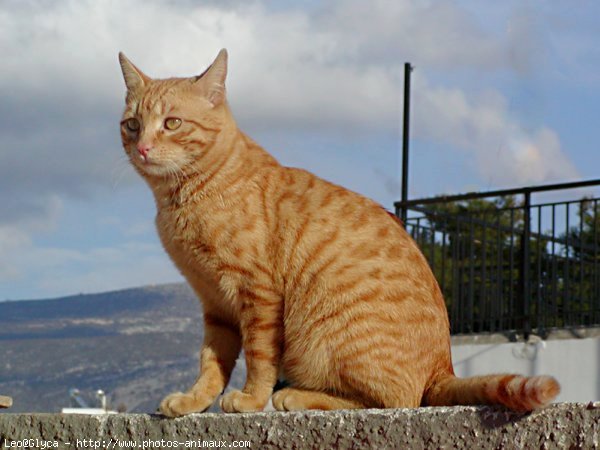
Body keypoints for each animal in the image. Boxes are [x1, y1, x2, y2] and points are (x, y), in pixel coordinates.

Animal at [119, 47, 560, 416]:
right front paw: (193, 401)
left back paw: (293, 395)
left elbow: (259, 357)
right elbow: (212, 363)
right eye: (132, 125)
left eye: (172, 123)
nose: (142, 148)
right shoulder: (215, 304)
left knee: (392, 399)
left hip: (329, 338)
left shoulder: (257, 294)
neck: (184, 197)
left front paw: (251, 399)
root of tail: (443, 367)